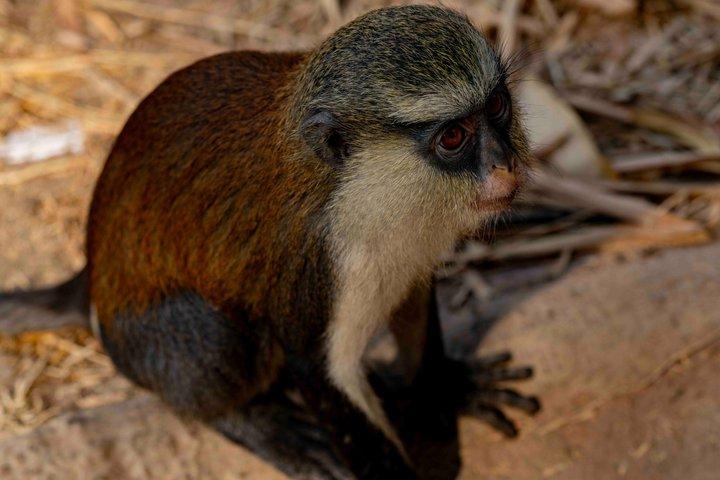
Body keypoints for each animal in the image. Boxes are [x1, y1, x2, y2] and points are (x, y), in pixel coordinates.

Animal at [0, 5, 540, 479]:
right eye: (453, 137)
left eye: (496, 107)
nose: (504, 164)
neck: (354, 187)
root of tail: (89, 281)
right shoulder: (318, 262)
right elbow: (321, 372)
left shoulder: (411, 246)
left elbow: (414, 308)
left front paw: (448, 386)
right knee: (220, 342)